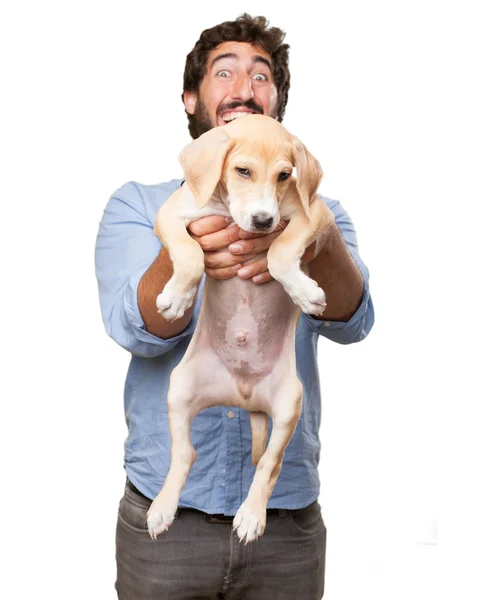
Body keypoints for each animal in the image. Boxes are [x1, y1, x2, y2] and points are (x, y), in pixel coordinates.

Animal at [148, 115, 336, 548]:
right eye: (242, 171)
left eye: (284, 175)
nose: (263, 221)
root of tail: (242, 393)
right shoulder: (173, 214)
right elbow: (191, 254)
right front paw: (178, 297)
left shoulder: (313, 214)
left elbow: (279, 252)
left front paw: (305, 292)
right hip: (179, 388)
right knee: (186, 454)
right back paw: (163, 508)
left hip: (289, 403)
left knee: (269, 463)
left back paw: (251, 516)